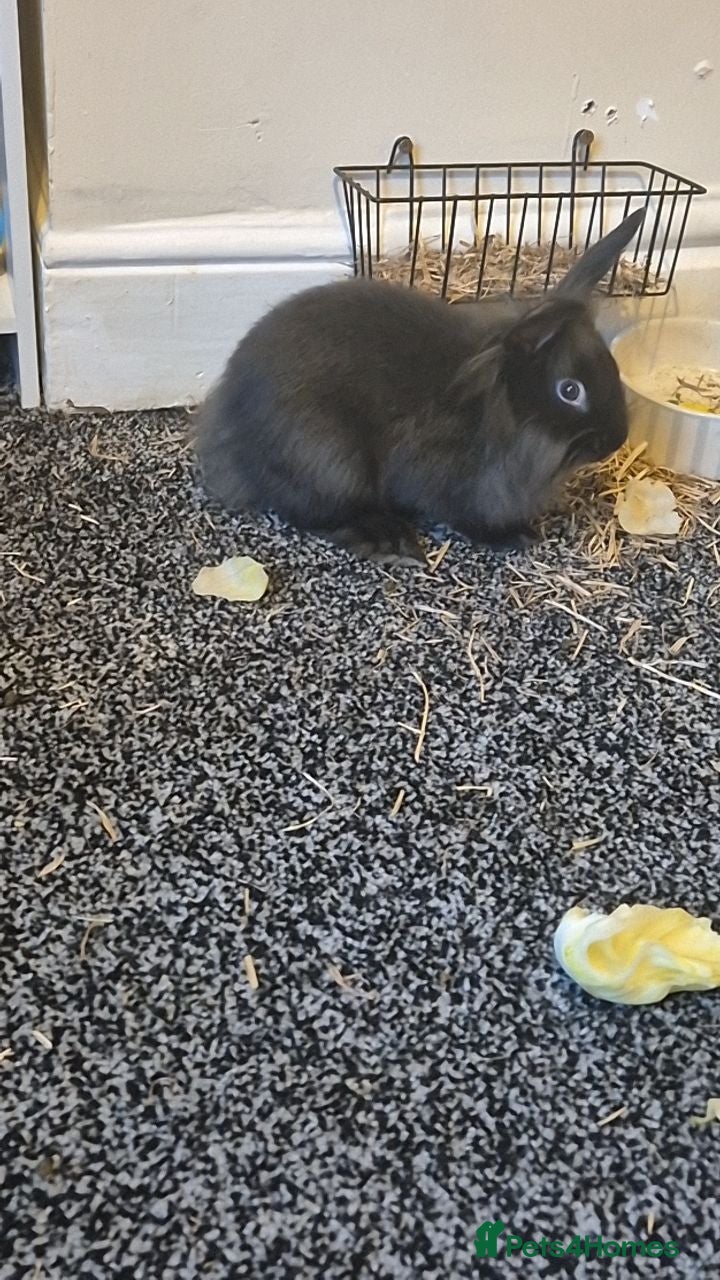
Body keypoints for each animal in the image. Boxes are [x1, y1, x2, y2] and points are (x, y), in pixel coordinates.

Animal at [194, 208, 643, 564]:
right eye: (570, 390)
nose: (615, 441)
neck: (499, 411)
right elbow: (464, 517)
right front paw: (515, 536)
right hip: (327, 458)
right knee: (315, 513)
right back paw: (390, 541)